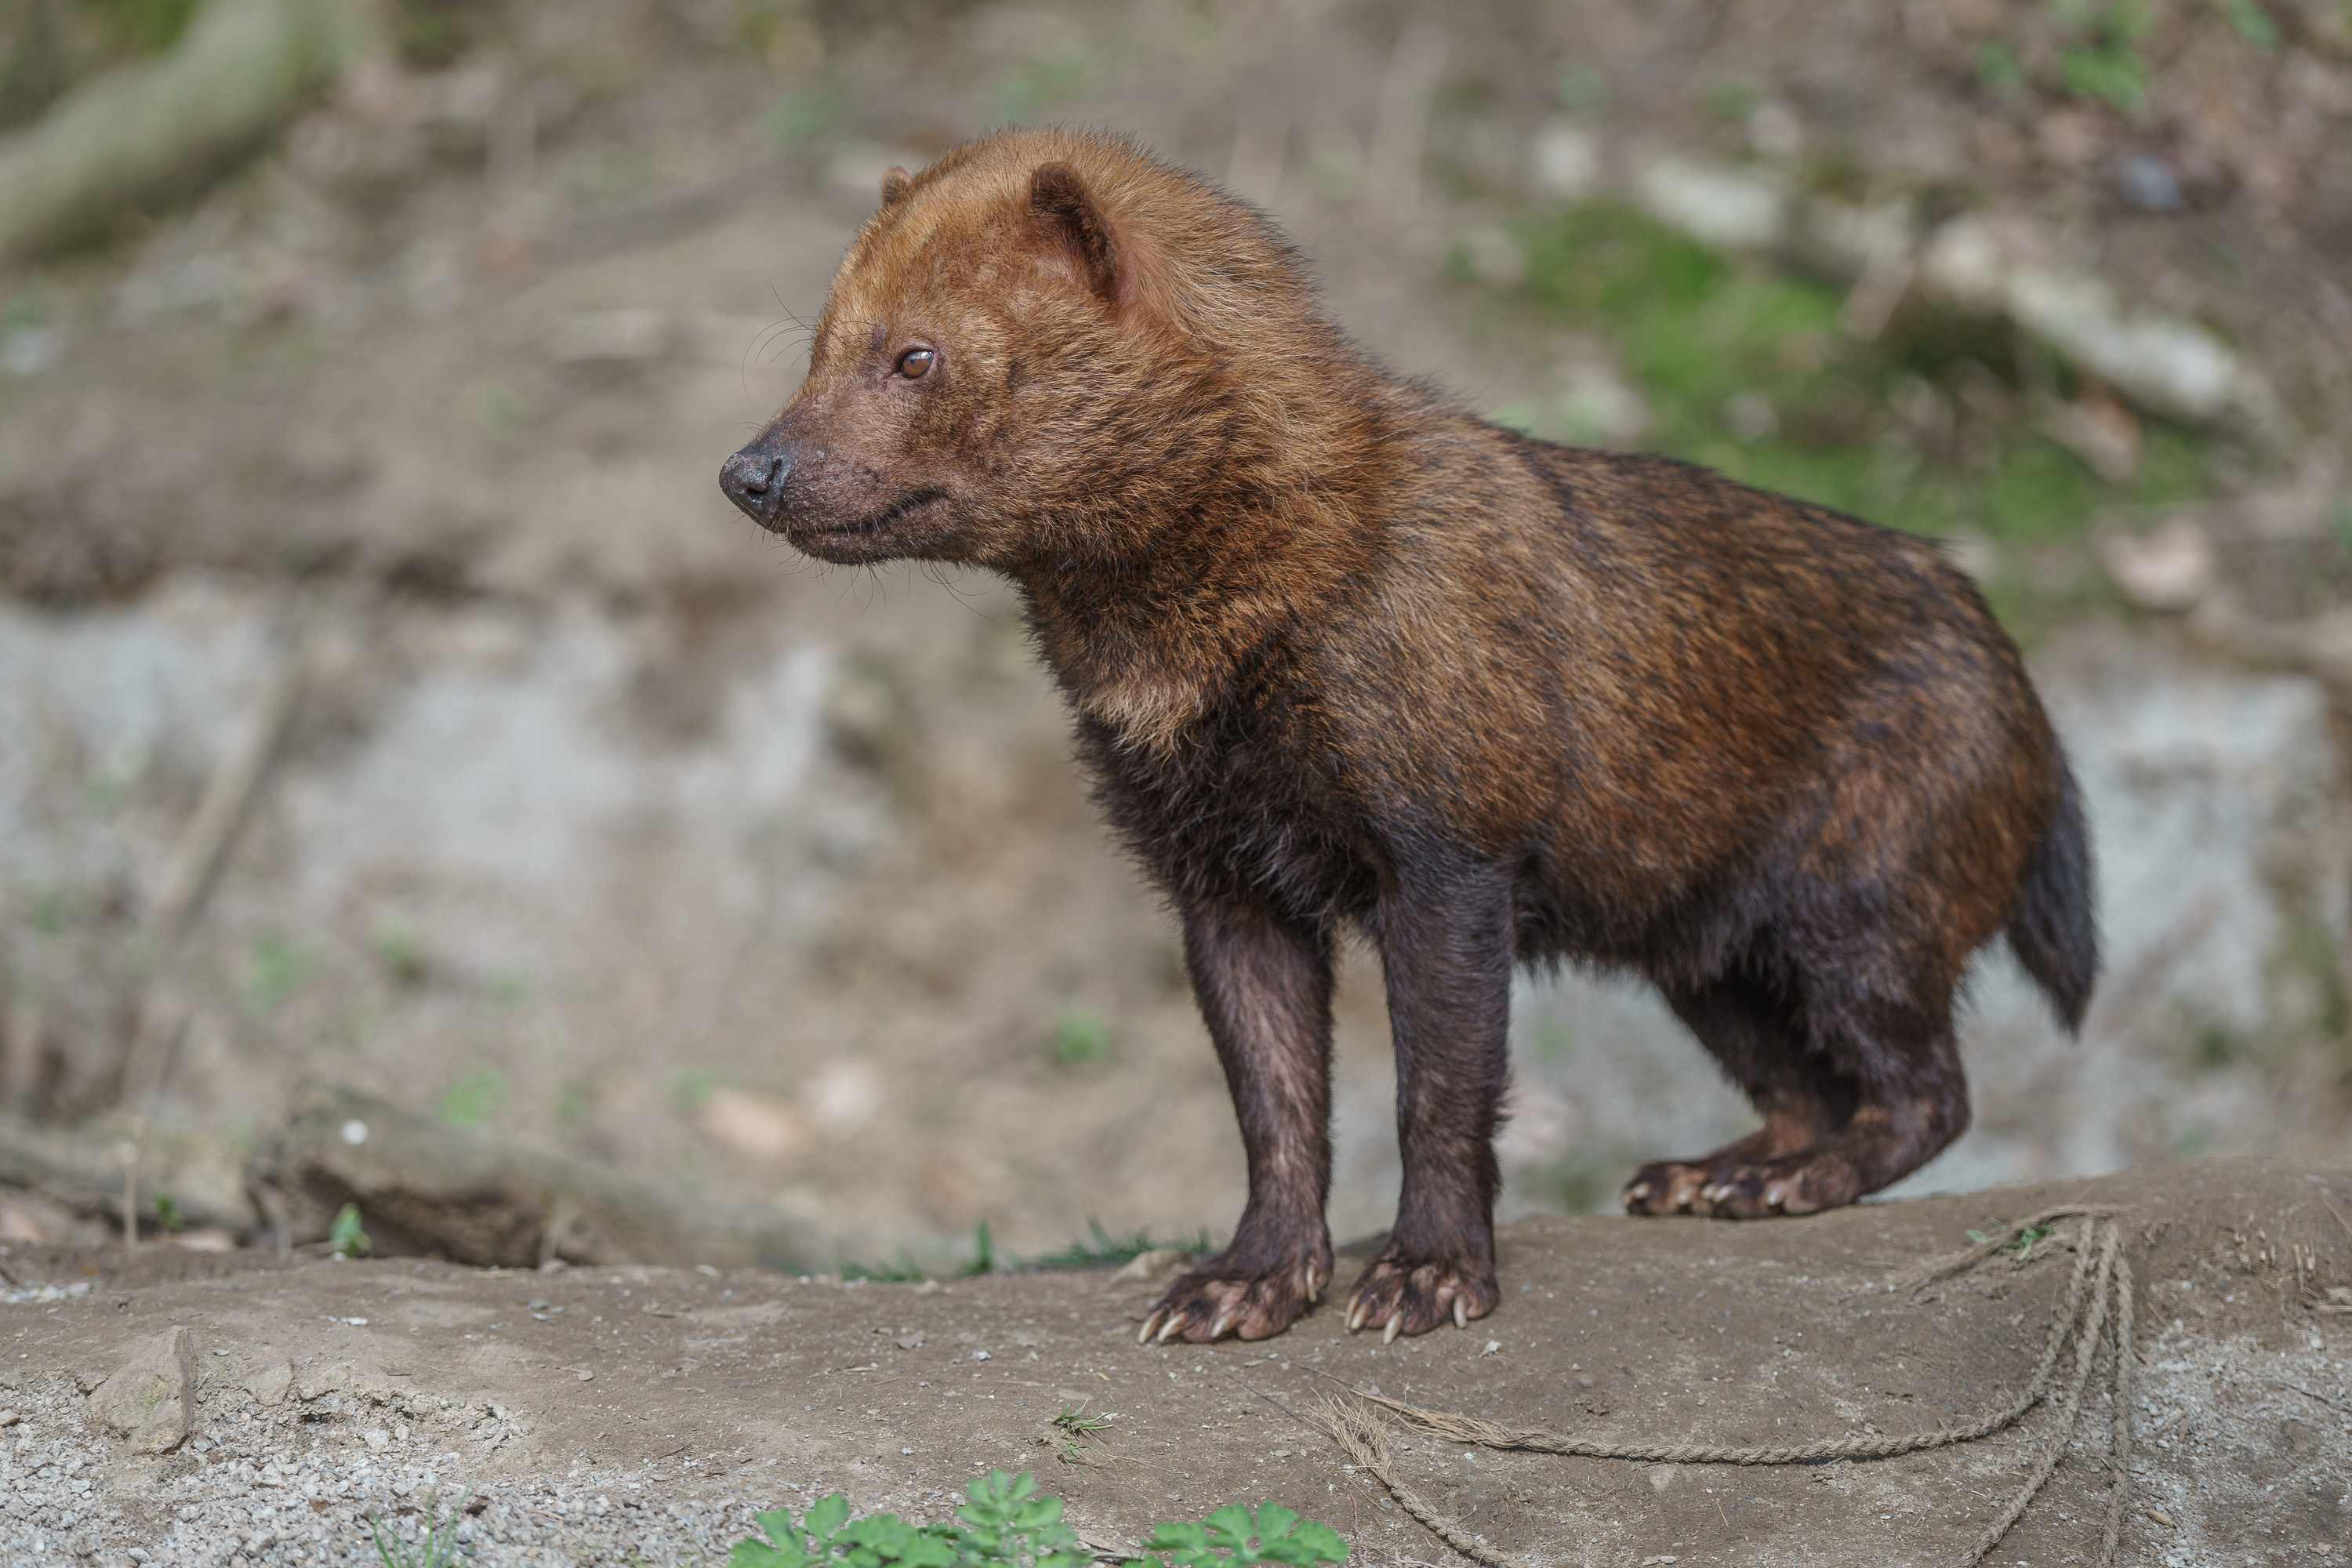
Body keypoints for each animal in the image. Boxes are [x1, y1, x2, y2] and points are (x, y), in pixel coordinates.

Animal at [715, 129, 2098, 1345]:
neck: (1218, 662)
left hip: (1856, 905)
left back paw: (1774, 1185)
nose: (748, 470)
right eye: (815, 343)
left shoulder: (1447, 853)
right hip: (1706, 956)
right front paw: (1243, 1287)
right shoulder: (1219, 879)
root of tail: (2014, 669)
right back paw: (1701, 1175)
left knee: (1926, 1093)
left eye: (914, 354)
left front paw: (1428, 1278)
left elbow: (1441, 1089)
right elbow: (1275, 1107)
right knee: (1812, 1092)